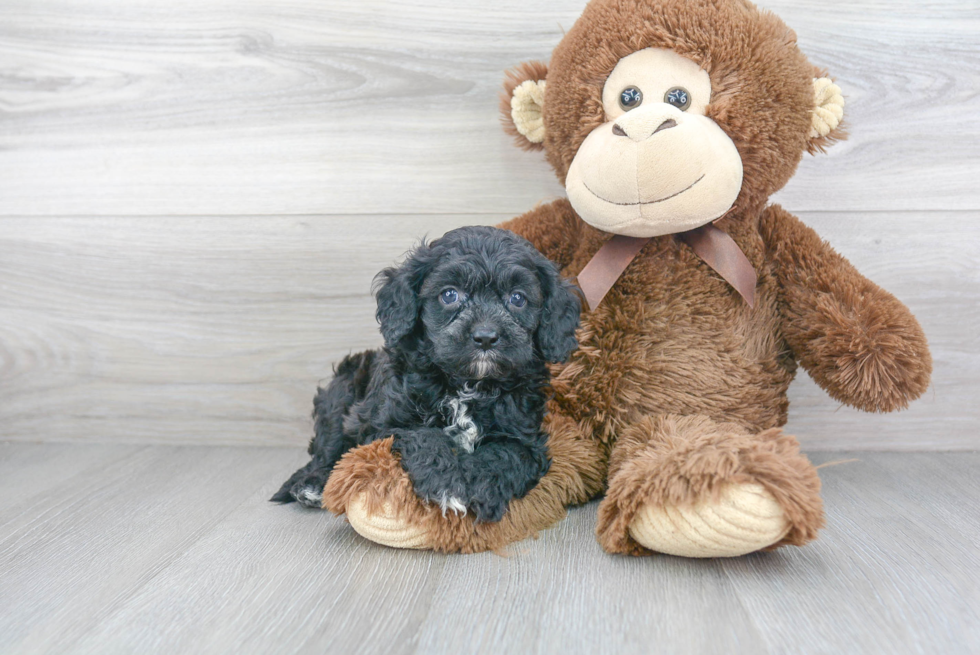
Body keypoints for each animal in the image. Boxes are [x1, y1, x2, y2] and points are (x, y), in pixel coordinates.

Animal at [270, 226, 580, 524]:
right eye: (449, 295)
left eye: (517, 298)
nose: (485, 337)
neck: (467, 384)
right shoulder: (380, 424)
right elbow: (425, 436)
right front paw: (447, 486)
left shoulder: (526, 439)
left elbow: (504, 456)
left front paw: (481, 490)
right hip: (341, 391)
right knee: (327, 449)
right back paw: (310, 484)